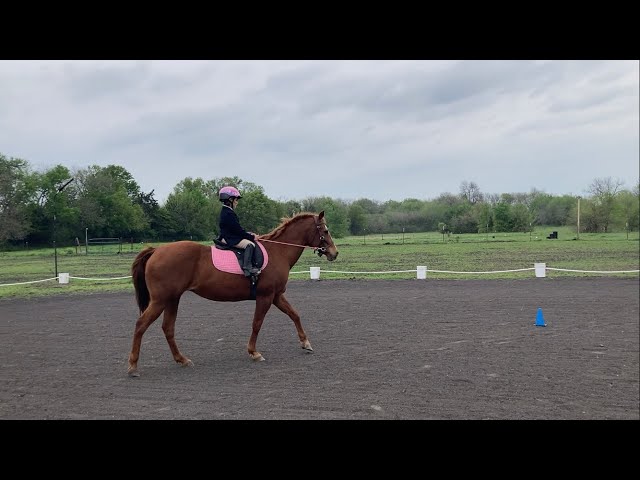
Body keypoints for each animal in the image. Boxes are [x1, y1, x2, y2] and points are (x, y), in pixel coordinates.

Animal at [129, 212, 340, 376]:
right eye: (325, 231)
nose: (334, 253)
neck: (278, 250)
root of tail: (156, 250)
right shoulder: (265, 296)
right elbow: (257, 323)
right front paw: (254, 352)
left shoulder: (276, 296)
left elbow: (294, 314)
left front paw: (306, 343)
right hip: (160, 300)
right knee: (140, 325)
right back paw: (133, 366)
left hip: (172, 299)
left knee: (168, 328)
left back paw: (182, 359)